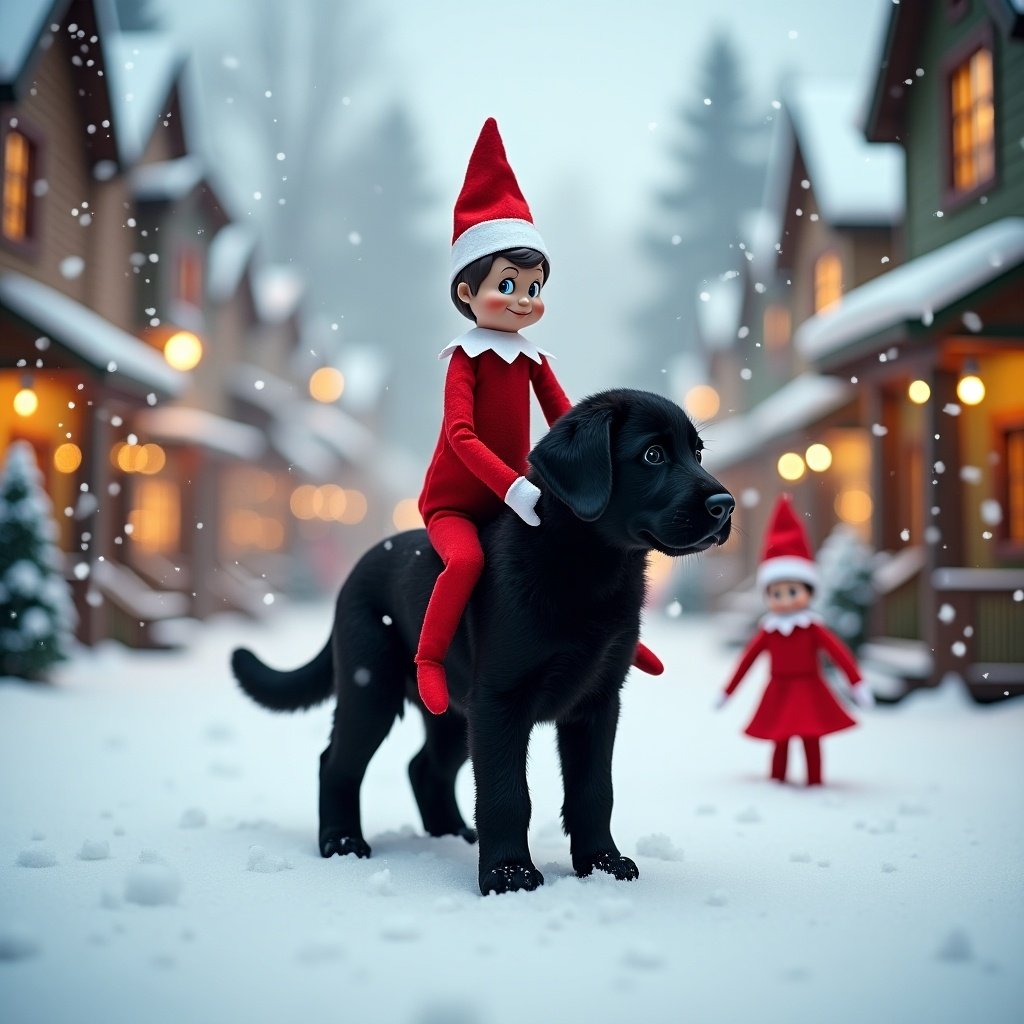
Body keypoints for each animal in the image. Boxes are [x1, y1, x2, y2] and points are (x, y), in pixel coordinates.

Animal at [234, 391, 729, 897]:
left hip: (453, 711)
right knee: (337, 763)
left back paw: (450, 834)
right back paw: (342, 842)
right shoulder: (499, 700)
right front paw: (509, 875)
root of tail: (355, 572)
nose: (725, 505)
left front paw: (601, 865)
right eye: (653, 455)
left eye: (698, 453)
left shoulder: (598, 701)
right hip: (372, 689)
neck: (588, 571)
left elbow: (593, 790)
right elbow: (505, 792)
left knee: (424, 768)